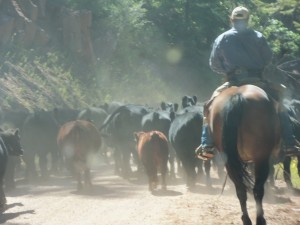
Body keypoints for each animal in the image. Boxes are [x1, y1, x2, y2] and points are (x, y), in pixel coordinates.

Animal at [206, 84, 282, 225]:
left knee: (240, 190)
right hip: (260, 158)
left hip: (229, 161)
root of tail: (237, 96)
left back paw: (246, 219)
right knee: (258, 190)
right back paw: (260, 219)